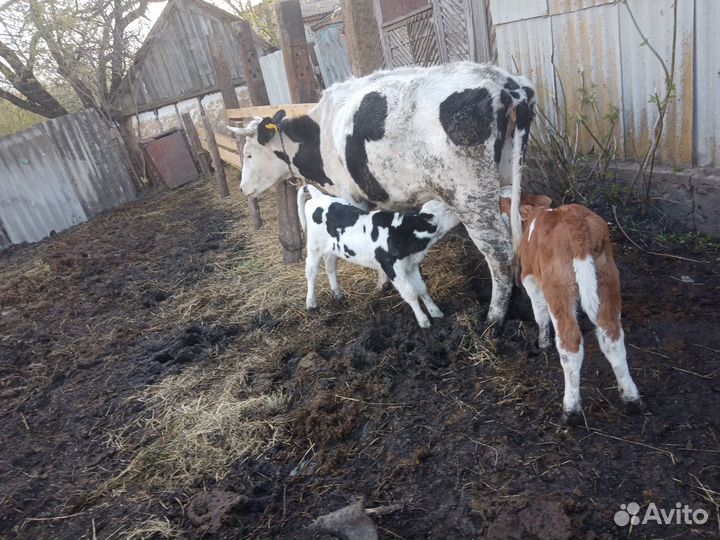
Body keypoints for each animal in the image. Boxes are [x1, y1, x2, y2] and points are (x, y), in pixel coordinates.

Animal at [297, 185, 460, 328]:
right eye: (447, 209)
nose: (459, 213)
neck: (400, 233)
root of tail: (319, 196)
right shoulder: (392, 268)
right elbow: (411, 294)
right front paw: (423, 321)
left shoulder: (411, 265)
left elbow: (422, 289)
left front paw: (436, 313)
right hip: (314, 247)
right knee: (311, 272)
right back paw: (311, 304)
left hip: (332, 249)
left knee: (330, 265)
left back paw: (337, 293)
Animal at [500, 195, 645, 424]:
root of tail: (575, 223)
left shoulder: (530, 278)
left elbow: (539, 313)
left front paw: (543, 343)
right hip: (607, 278)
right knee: (612, 335)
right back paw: (631, 398)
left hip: (558, 287)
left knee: (570, 343)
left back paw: (571, 409)